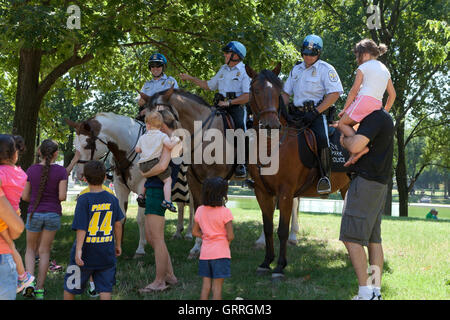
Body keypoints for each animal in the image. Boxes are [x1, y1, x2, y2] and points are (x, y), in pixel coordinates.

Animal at [244, 62, 350, 280]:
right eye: (255, 90)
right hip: (345, 188)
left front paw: (279, 266)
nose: (271, 125)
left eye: (277, 91)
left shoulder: (285, 192)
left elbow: (282, 230)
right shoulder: (262, 192)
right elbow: (268, 227)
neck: (271, 147)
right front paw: (266, 262)